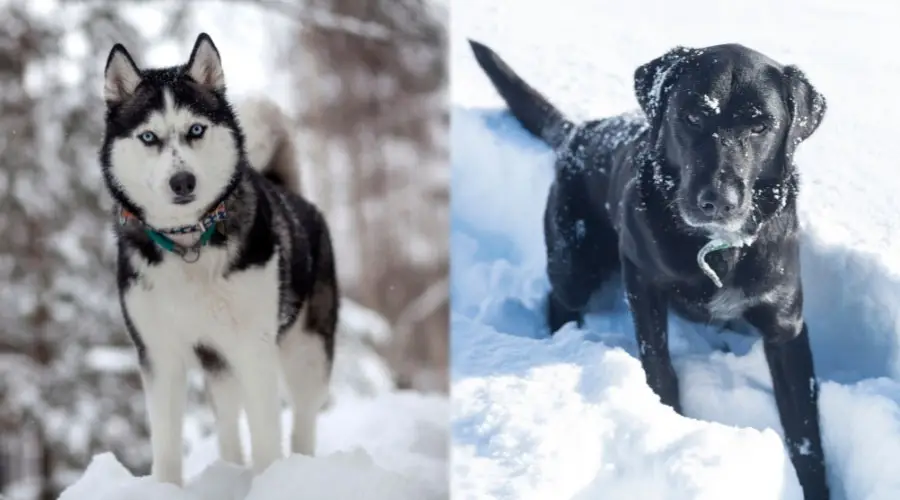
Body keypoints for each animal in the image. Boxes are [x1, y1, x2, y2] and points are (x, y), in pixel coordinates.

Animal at [472, 41, 828, 498]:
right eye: (693, 116)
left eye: (760, 126)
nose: (718, 200)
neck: (714, 247)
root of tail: (578, 132)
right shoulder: (641, 281)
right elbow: (658, 365)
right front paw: (669, 421)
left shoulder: (785, 326)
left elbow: (805, 432)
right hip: (574, 262)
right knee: (559, 298)